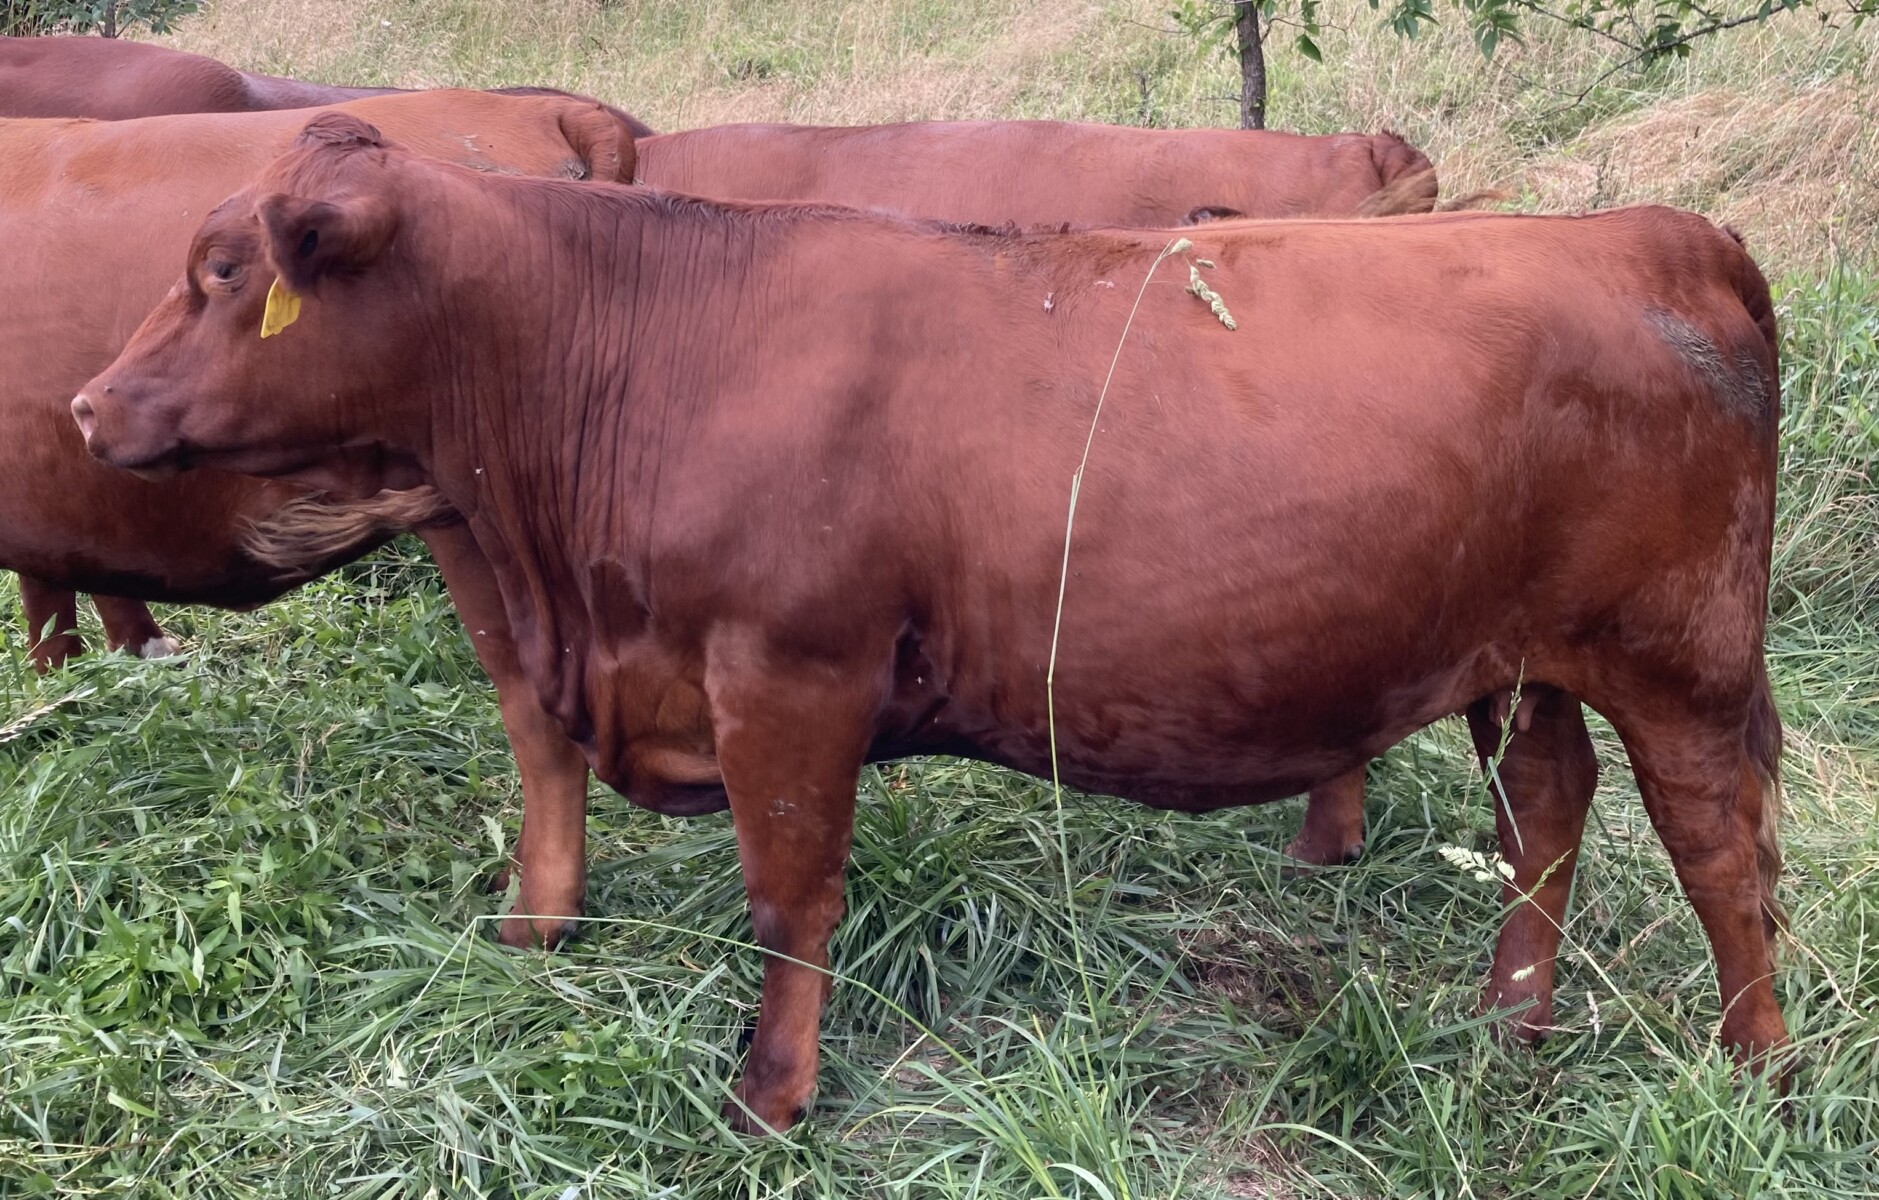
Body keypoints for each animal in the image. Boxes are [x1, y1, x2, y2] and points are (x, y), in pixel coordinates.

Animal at [74, 113, 1790, 1134]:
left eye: (219, 270)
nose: (89, 406)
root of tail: (1647, 230)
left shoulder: (788, 676)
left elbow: (790, 898)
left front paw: (767, 1099)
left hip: (1677, 658)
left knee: (1715, 850)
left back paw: (1755, 1068)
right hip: (1520, 657)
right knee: (1545, 809)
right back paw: (1510, 1020)